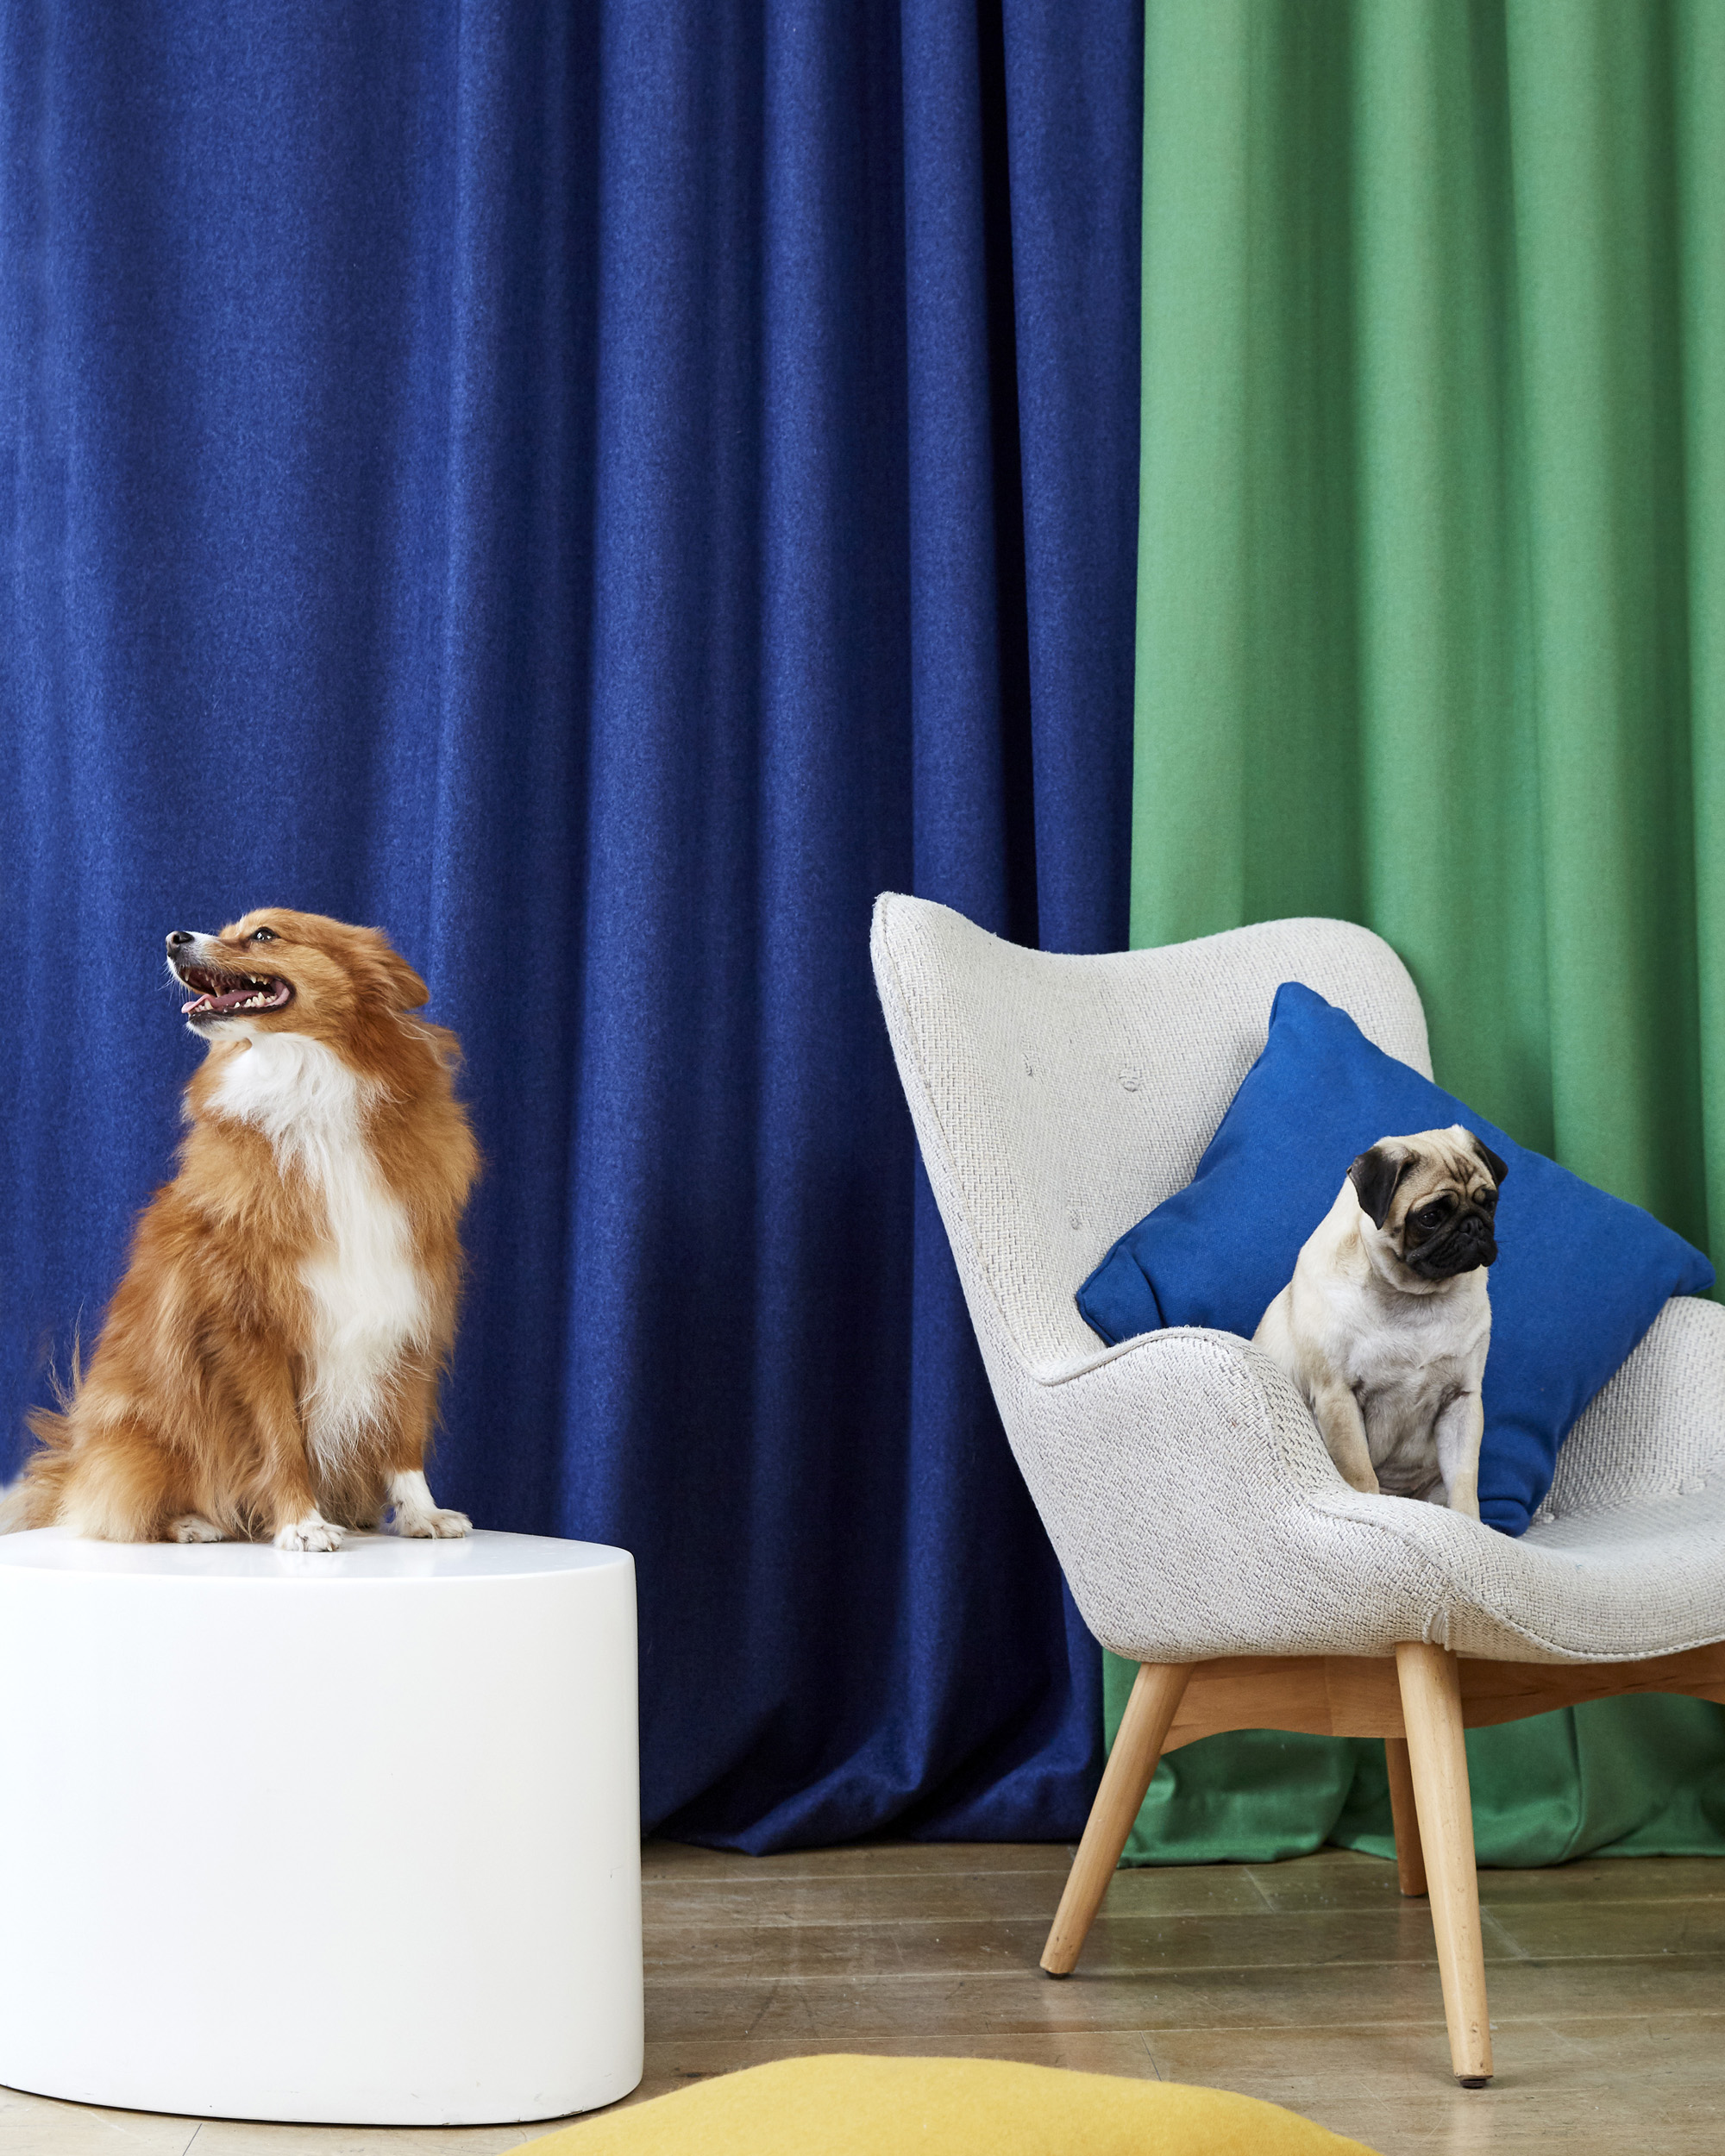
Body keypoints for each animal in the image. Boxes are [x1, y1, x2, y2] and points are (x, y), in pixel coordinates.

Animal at [2, 909, 479, 1550]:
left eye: (264, 935)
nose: (174, 937)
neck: (310, 1090)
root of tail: (72, 1459)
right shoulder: (250, 1328)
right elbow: (281, 1439)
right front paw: (302, 1524)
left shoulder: (408, 1300)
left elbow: (405, 1435)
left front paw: (422, 1514)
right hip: (144, 1426)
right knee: (116, 1502)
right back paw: (191, 1522)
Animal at [1252, 1126, 1505, 1518]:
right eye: (1430, 1216)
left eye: (1489, 1202)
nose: (1473, 1226)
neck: (1415, 1298)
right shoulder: (1337, 1397)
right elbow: (1359, 1474)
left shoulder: (1462, 1400)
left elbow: (1464, 1481)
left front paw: (1470, 1523)